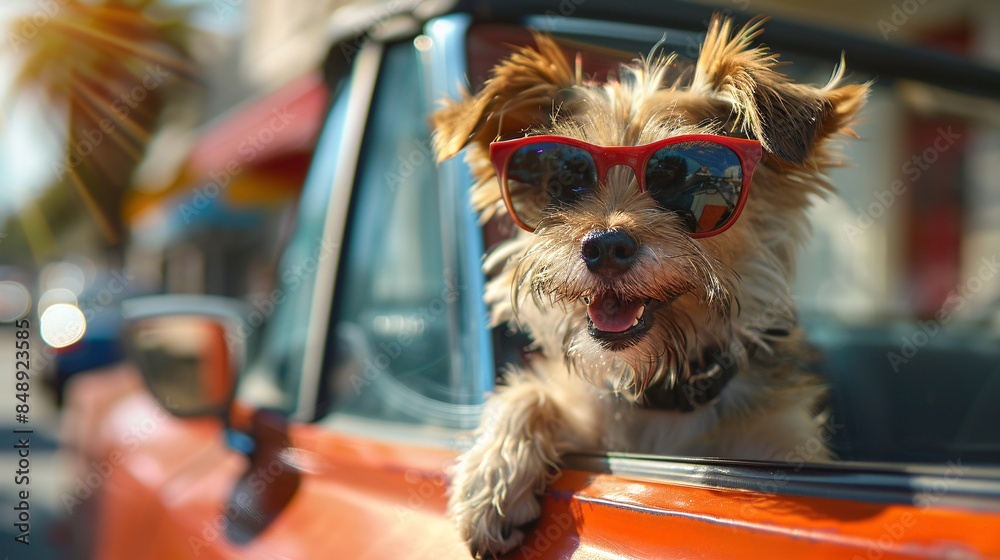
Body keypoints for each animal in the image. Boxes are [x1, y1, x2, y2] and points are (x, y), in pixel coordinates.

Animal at [432, 15, 868, 556]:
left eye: (678, 179)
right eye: (565, 180)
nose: (604, 245)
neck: (658, 391)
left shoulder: (779, 440)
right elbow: (530, 393)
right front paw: (491, 477)